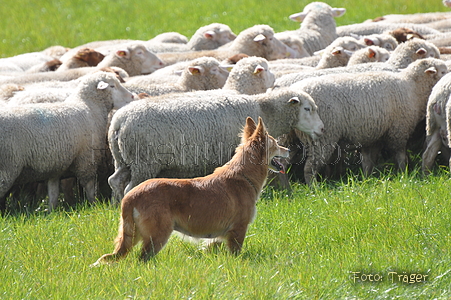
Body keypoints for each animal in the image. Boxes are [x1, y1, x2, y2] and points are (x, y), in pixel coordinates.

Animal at [0, 72, 135, 211]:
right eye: (112, 86)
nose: (132, 96)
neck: (90, 107)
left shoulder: (55, 167)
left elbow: (53, 192)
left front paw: (52, 211)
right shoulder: (86, 159)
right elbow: (89, 186)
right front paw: (93, 204)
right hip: (8, 166)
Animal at [92, 116, 290, 264]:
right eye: (275, 145)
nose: (288, 149)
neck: (243, 175)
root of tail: (130, 196)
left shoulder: (218, 237)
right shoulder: (238, 230)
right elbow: (236, 254)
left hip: (134, 235)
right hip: (158, 235)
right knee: (143, 259)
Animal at [108, 87, 324, 199]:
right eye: (307, 108)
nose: (322, 129)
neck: (263, 110)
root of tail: (119, 121)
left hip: (123, 160)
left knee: (114, 181)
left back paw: (115, 207)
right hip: (144, 162)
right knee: (128, 187)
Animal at [290, 56, 448, 183]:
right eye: (443, 71)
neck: (412, 88)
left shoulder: (373, 134)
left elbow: (368, 161)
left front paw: (367, 178)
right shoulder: (398, 130)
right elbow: (400, 155)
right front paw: (404, 173)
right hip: (322, 137)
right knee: (310, 166)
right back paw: (314, 187)